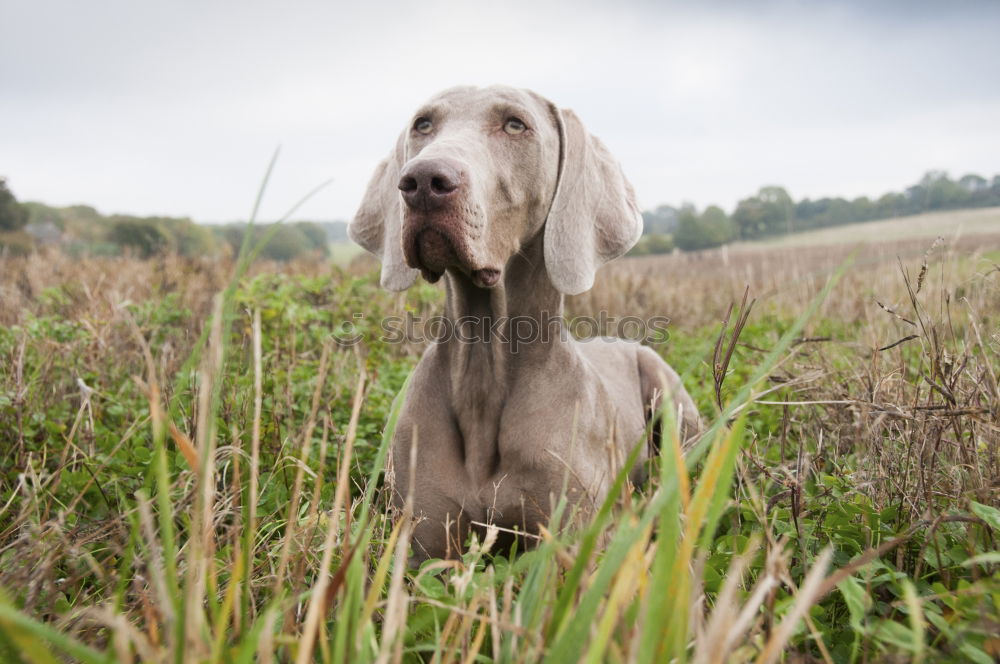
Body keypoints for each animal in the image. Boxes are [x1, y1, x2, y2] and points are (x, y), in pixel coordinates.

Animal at [352, 83, 704, 560]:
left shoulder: (575, 540)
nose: (423, 181)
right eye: (423, 124)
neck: (484, 371)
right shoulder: (421, 543)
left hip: (671, 396)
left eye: (515, 124)